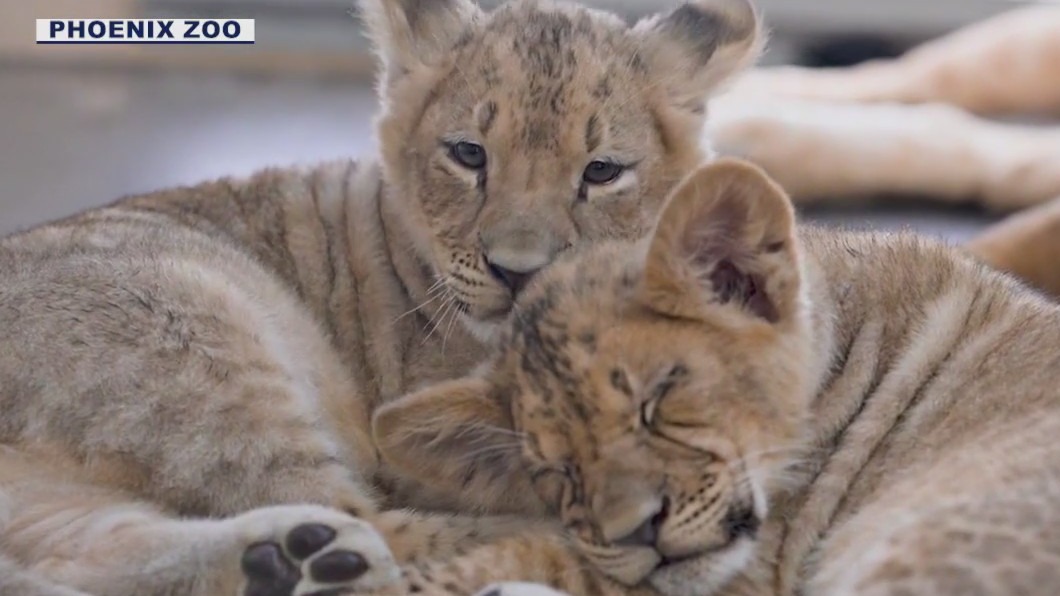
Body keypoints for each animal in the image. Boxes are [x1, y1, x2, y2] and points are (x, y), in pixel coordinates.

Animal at [0, 1, 763, 594]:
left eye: (602, 172)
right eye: (468, 154)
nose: (517, 272)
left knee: (77, 556)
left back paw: (285, 562)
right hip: (195, 338)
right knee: (369, 518)